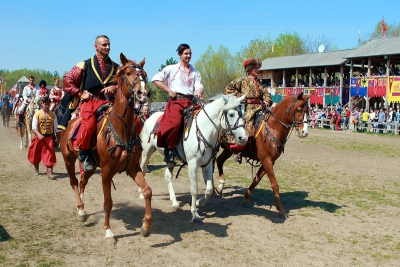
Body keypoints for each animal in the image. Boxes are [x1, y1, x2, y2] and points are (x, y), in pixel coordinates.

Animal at [59, 53, 152, 244]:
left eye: (145, 74)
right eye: (129, 73)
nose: (143, 93)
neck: (121, 129)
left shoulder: (133, 168)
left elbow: (147, 191)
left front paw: (146, 227)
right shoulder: (107, 172)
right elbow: (108, 202)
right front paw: (108, 232)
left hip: (91, 166)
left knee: (82, 181)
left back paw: (83, 208)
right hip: (68, 160)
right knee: (74, 182)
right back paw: (80, 209)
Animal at [140, 94, 247, 224]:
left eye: (243, 113)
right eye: (231, 114)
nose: (243, 138)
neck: (203, 130)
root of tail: (150, 117)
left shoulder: (207, 164)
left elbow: (209, 189)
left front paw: (199, 202)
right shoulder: (192, 164)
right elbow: (194, 189)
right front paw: (195, 214)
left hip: (170, 159)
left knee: (168, 176)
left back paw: (174, 202)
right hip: (146, 152)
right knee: (142, 169)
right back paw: (141, 194)